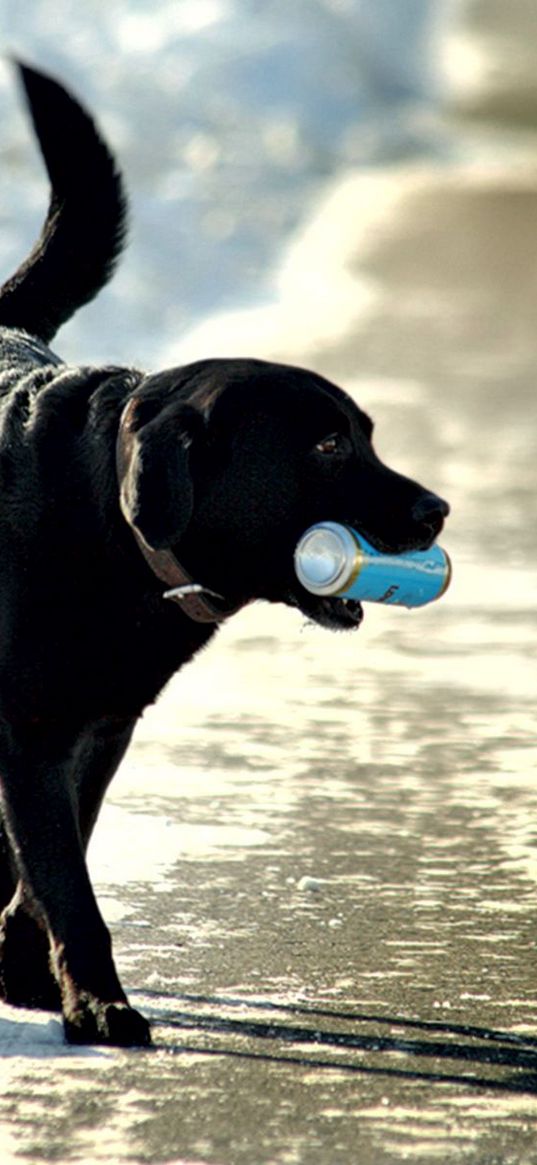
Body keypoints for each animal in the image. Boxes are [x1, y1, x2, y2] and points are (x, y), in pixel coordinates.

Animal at [0, 63, 444, 1048]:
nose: (438, 508)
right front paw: (98, 1002)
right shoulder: (36, 732)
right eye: (326, 445)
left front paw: (31, 976)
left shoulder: (99, 728)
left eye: (365, 433)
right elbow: (67, 884)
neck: (109, 525)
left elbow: (52, 864)